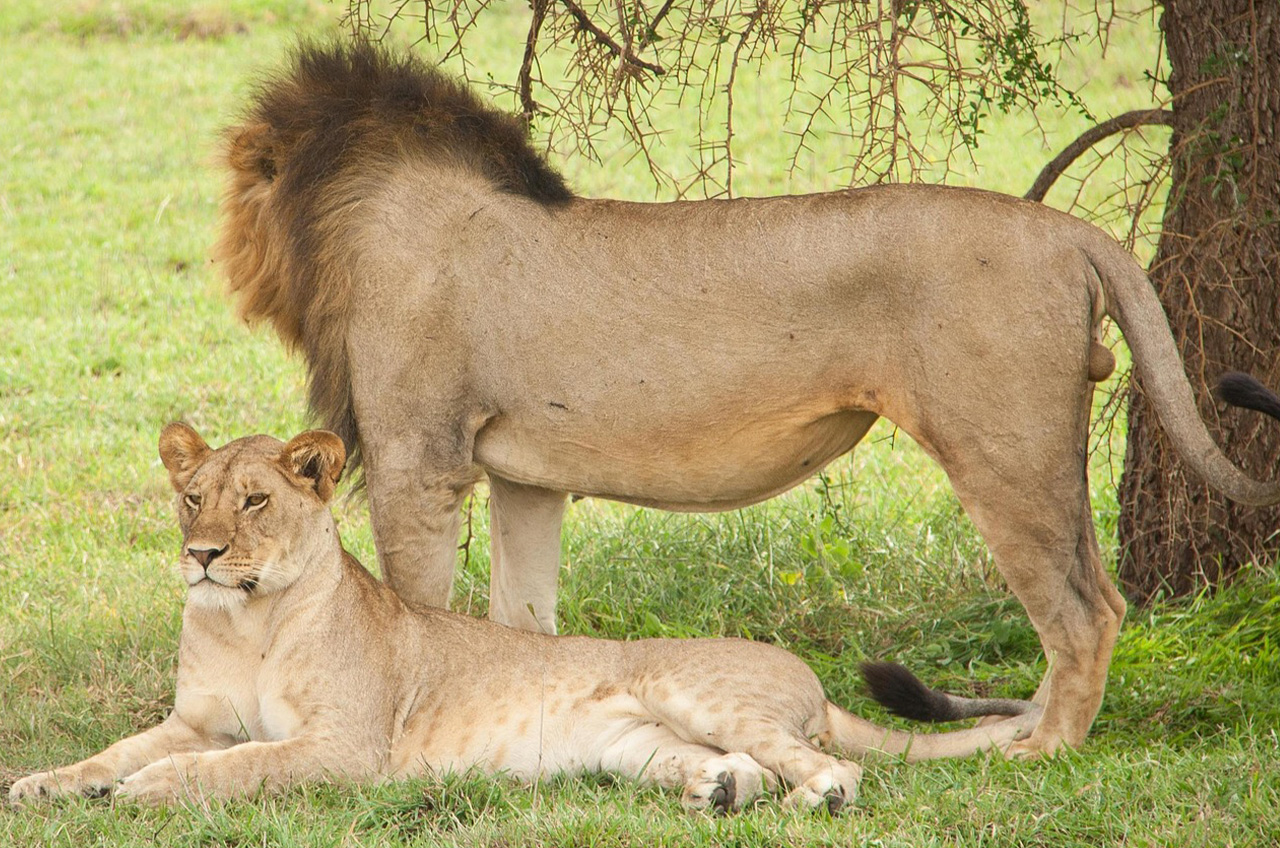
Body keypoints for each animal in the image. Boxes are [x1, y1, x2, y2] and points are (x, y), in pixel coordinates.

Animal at [8, 424, 1040, 811]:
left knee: (834, 769)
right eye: (192, 498)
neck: (248, 621)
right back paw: (719, 794)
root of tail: (812, 681)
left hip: (694, 691)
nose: (203, 555)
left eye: (255, 501)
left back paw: (806, 803)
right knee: (734, 767)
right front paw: (44, 784)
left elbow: (237, 764)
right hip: (636, 746)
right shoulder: (193, 716)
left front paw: (150, 790)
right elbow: (113, 750)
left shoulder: (345, 748)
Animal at [213, 41, 1280, 758]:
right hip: (1037, 450)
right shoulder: (524, 479)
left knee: (1085, 614)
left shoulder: (420, 459)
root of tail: (1069, 233)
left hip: (1002, 451)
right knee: (1097, 599)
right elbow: (523, 625)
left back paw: (1042, 752)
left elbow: (416, 610)